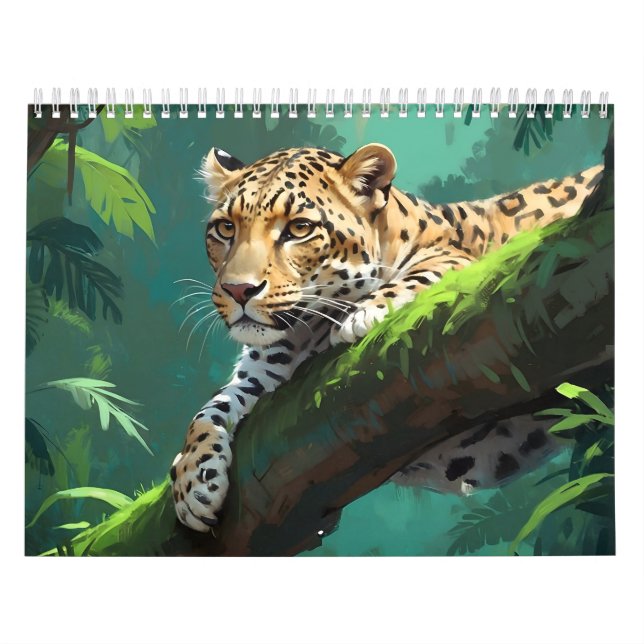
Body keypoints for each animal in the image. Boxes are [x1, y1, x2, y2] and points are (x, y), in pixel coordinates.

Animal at [170, 142, 604, 532]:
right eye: (226, 228)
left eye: (299, 229)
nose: (239, 290)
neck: (302, 332)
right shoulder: (260, 375)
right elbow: (209, 411)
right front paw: (192, 480)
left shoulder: (465, 262)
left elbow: (427, 271)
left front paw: (363, 313)